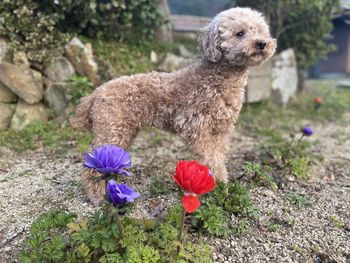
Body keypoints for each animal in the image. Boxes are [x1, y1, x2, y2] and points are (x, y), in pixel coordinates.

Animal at [71, 6, 278, 184]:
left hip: (123, 131)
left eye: (261, 31)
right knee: (91, 167)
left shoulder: (221, 130)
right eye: (240, 33)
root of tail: (96, 92)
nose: (262, 43)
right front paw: (218, 183)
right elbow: (211, 157)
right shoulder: (192, 124)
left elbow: (219, 154)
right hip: (111, 130)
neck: (218, 80)